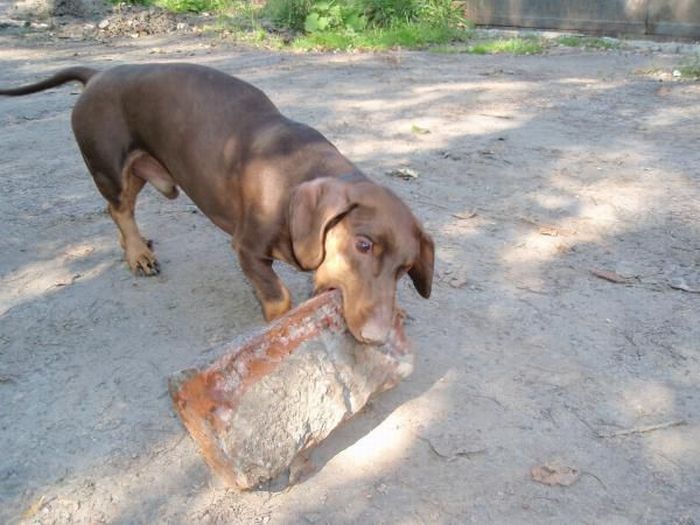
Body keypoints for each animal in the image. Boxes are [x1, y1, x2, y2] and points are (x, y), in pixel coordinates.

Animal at [0, 63, 434, 344]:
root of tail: (97, 75)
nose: (377, 337)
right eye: (363, 244)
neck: (298, 175)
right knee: (118, 209)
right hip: (110, 169)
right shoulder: (247, 249)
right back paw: (138, 253)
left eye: (404, 269)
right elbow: (279, 296)